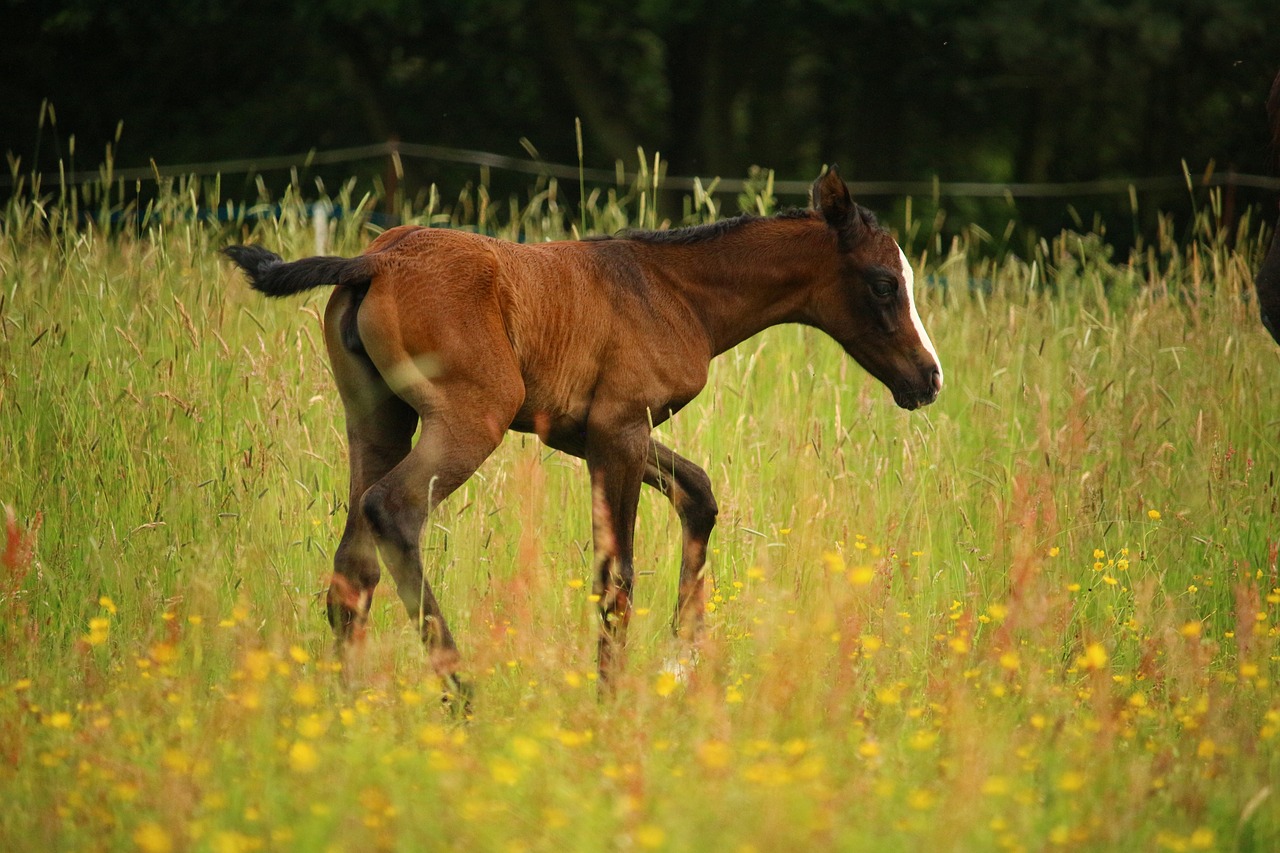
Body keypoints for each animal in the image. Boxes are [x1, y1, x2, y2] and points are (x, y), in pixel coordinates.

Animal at [222, 166, 942, 696]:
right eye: (884, 284)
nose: (929, 378)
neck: (674, 291)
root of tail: (373, 262)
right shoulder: (619, 430)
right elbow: (617, 578)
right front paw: (610, 703)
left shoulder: (588, 433)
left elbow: (699, 494)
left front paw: (680, 658)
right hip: (469, 420)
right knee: (392, 511)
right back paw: (461, 694)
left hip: (377, 420)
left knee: (352, 565)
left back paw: (345, 706)